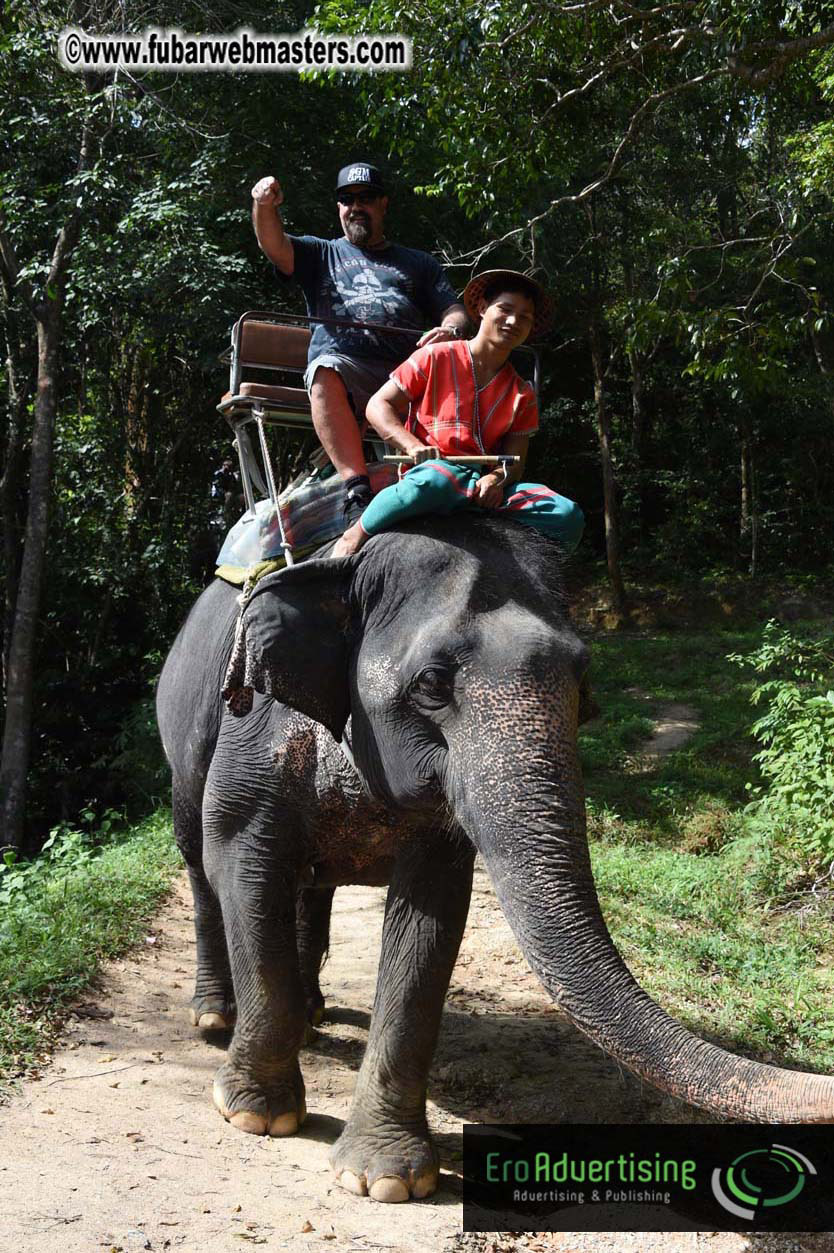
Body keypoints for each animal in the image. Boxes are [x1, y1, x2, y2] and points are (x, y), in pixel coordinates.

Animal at [156, 512, 834, 1205]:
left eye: (583, 682)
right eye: (432, 682)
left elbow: (429, 919)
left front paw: (387, 1178)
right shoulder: (252, 738)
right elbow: (241, 864)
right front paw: (256, 1115)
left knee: (312, 888)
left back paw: (313, 1011)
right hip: (179, 733)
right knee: (199, 860)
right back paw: (214, 1017)